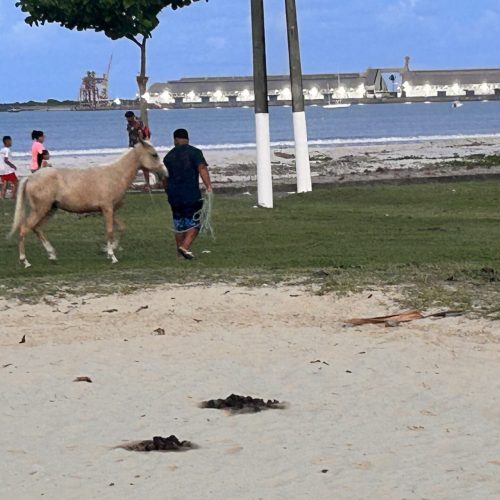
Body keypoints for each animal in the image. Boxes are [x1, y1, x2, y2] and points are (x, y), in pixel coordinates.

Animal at [9, 139, 166, 268]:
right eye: (154, 155)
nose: (164, 173)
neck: (115, 175)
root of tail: (30, 177)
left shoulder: (109, 210)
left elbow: (121, 228)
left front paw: (110, 249)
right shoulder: (107, 209)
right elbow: (109, 231)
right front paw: (112, 256)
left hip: (50, 210)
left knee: (37, 228)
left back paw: (52, 254)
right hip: (40, 209)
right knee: (24, 229)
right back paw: (25, 261)